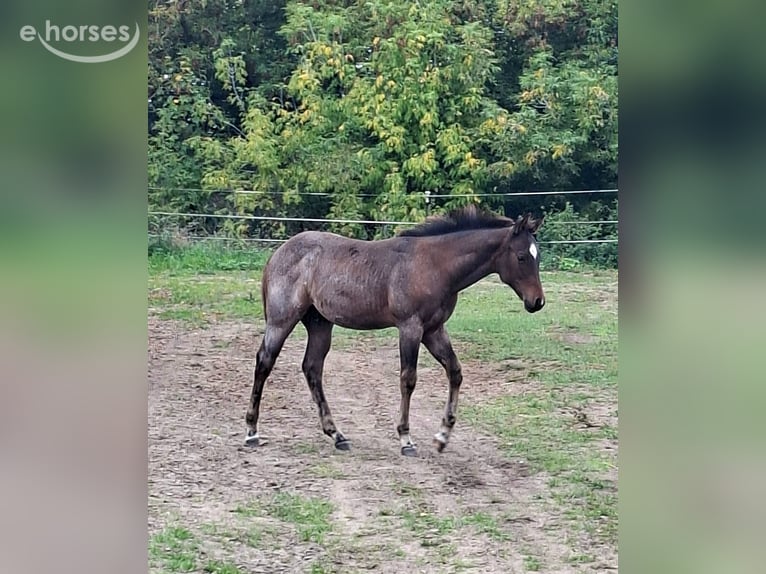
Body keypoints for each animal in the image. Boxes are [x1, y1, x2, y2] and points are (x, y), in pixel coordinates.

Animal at [244, 205, 545, 456]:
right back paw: (252, 432)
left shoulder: (434, 330)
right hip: (281, 320)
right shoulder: (410, 327)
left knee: (312, 368)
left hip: (320, 324)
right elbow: (408, 379)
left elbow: (455, 372)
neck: (435, 265)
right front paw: (406, 439)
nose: (537, 302)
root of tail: (277, 254)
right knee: (264, 362)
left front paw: (442, 436)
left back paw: (337, 435)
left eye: (538, 256)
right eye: (521, 257)